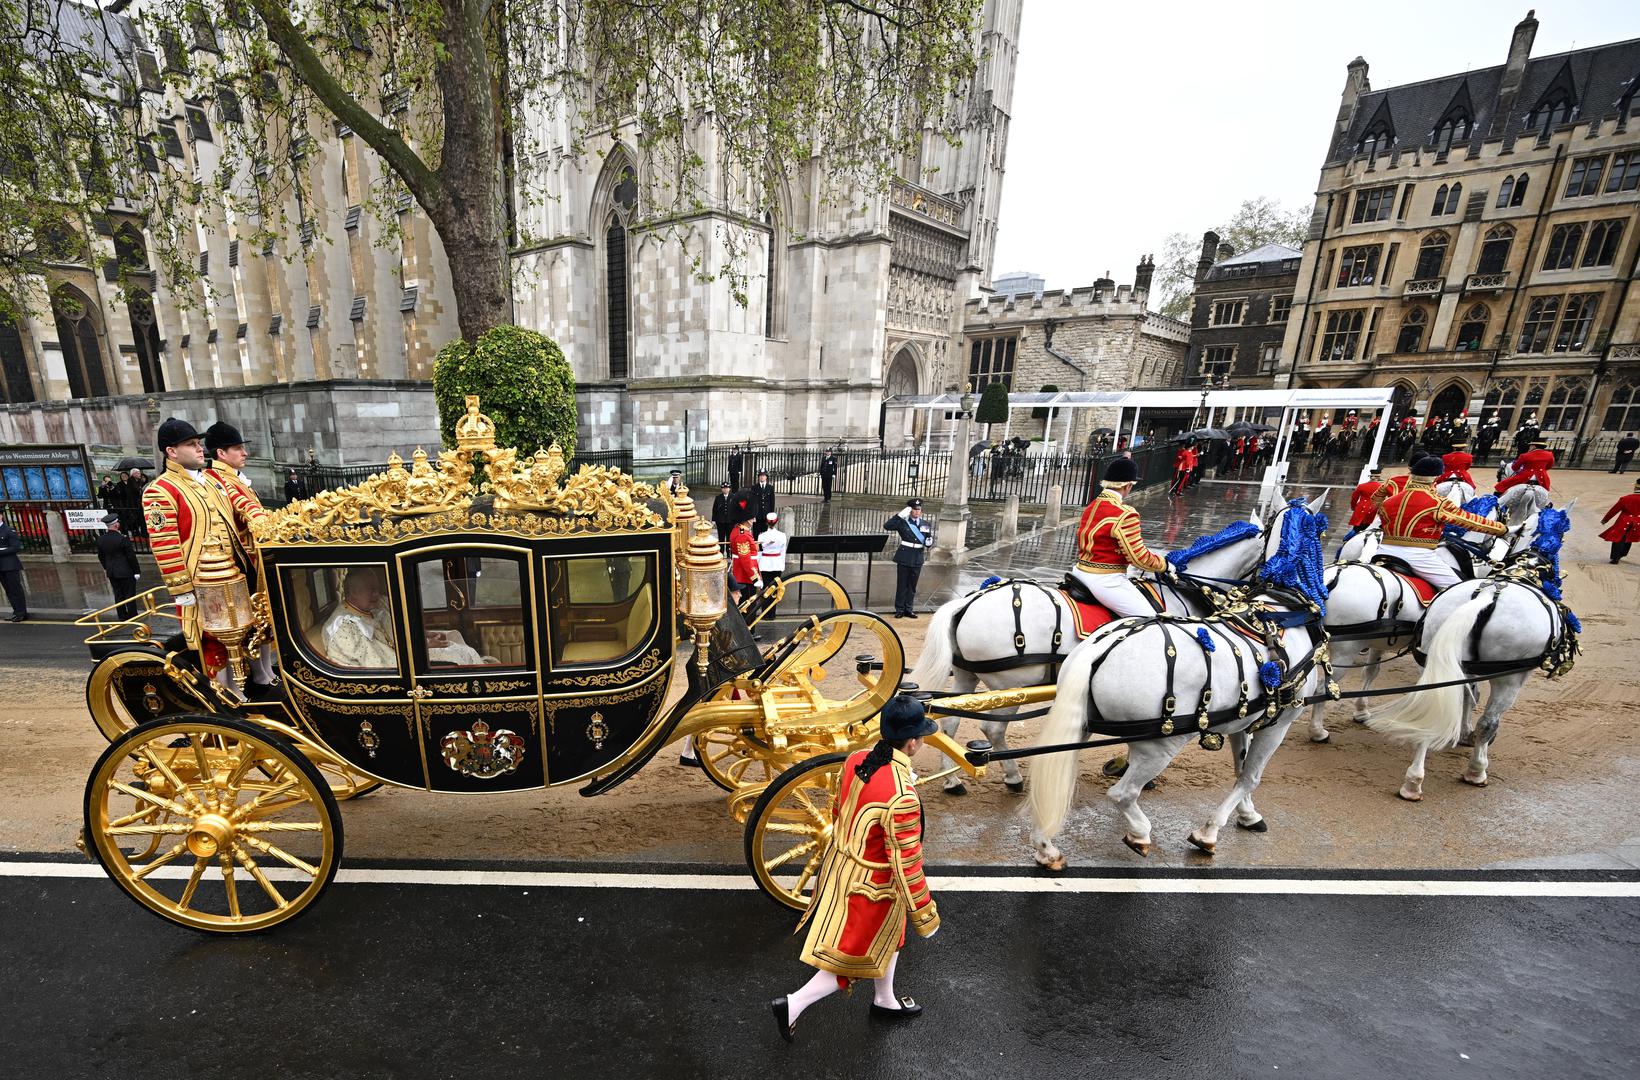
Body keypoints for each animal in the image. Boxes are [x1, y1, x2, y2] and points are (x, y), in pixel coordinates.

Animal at [1023, 501, 1331, 865]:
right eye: (1320, 535)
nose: (1325, 592)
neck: (1280, 609)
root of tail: (1100, 646)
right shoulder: (1278, 723)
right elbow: (1251, 777)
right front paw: (1209, 832)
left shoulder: (1246, 719)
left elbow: (1240, 769)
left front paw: (1248, 814)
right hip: (1161, 744)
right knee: (1122, 794)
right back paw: (1139, 833)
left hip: (1081, 725)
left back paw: (1046, 846)